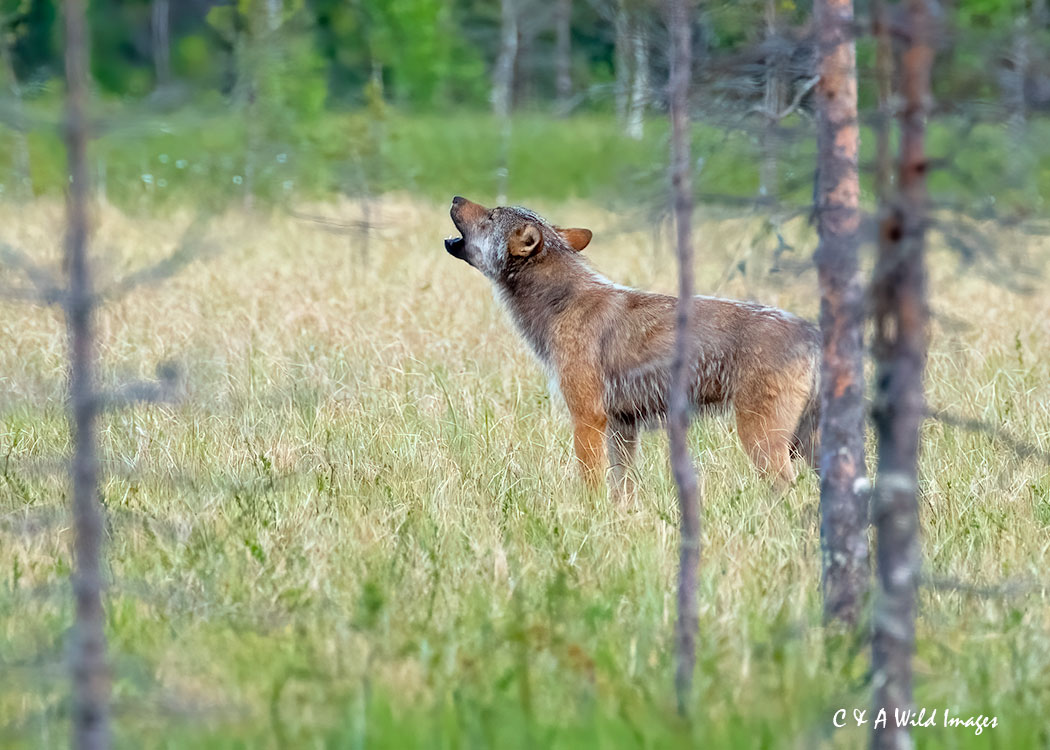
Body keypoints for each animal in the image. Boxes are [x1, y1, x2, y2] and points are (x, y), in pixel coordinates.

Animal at [444, 196, 820, 498]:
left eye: (491, 215)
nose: (456, 196)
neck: (560, 305)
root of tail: (811, 332)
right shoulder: (622, 426)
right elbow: (622, 490)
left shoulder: (588, 418)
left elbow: (592, 484)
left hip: (764, 443)